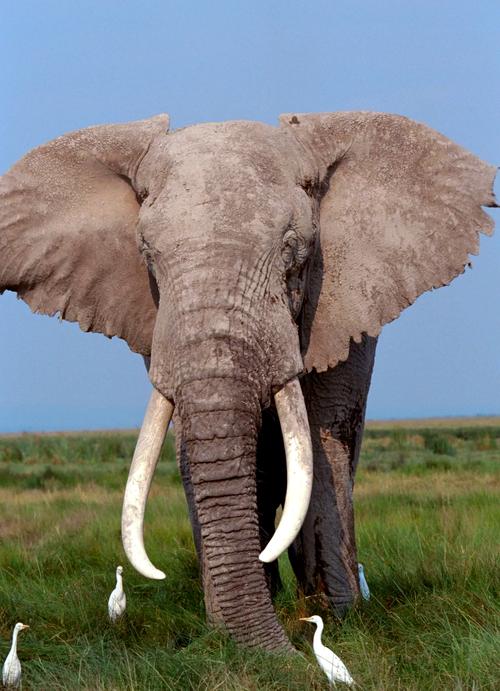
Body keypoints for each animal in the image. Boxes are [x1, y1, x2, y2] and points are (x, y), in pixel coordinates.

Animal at [0, 111, 497, 651]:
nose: (293, 653)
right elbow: (191, 450)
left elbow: (320, 442)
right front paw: (230, 629)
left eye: (295, 254)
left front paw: (338, 618)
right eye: (146, 254)